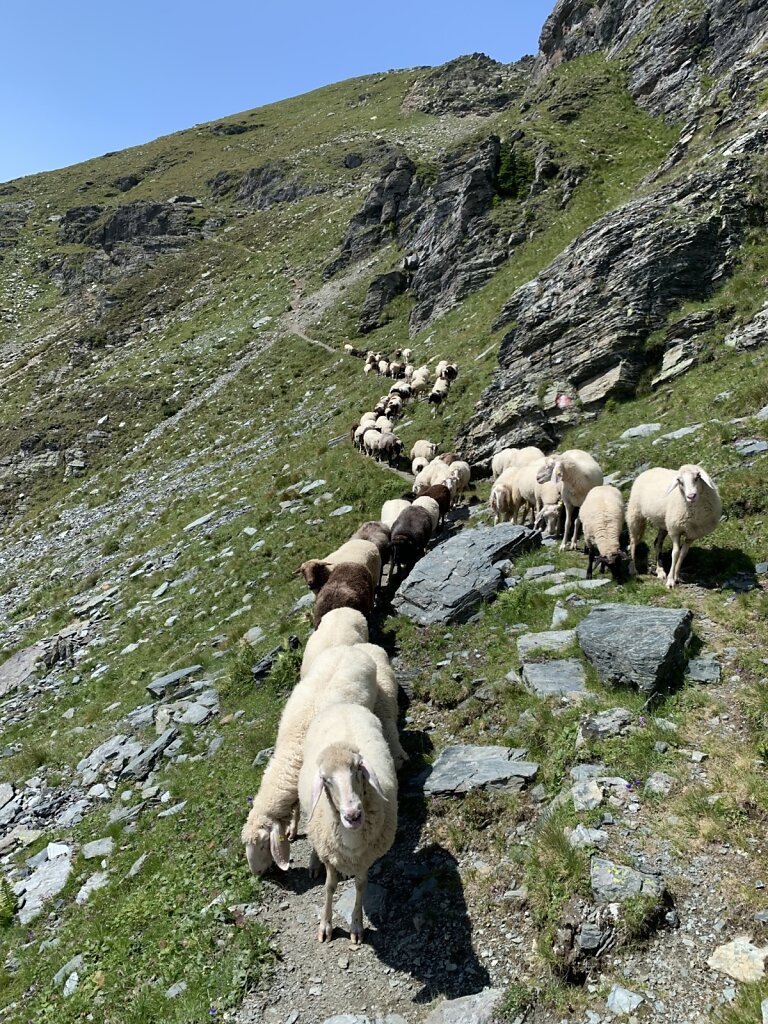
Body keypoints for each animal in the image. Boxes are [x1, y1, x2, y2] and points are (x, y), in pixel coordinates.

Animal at [243, 647, 378, 872]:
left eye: (263, 845)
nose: (257, 874)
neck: (293, 750)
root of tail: (349, 648)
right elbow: (296, 808)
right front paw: (292, 830)